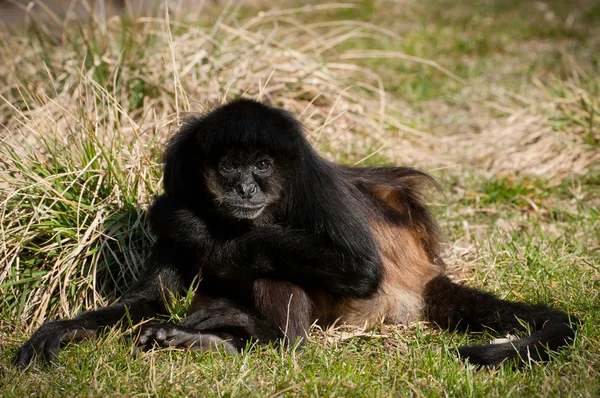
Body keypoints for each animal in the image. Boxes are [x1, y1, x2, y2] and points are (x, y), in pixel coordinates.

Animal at [12, 98, 576, 368]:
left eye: (262, 165)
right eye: (229, 166)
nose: (244, 188)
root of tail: (421, 266)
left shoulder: (308, 176)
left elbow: (359, 269)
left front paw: (195, 227)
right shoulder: (180, 173)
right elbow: (149, 300)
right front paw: (61, 330)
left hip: (368, 305)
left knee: (271, 266)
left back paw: (263, 338)